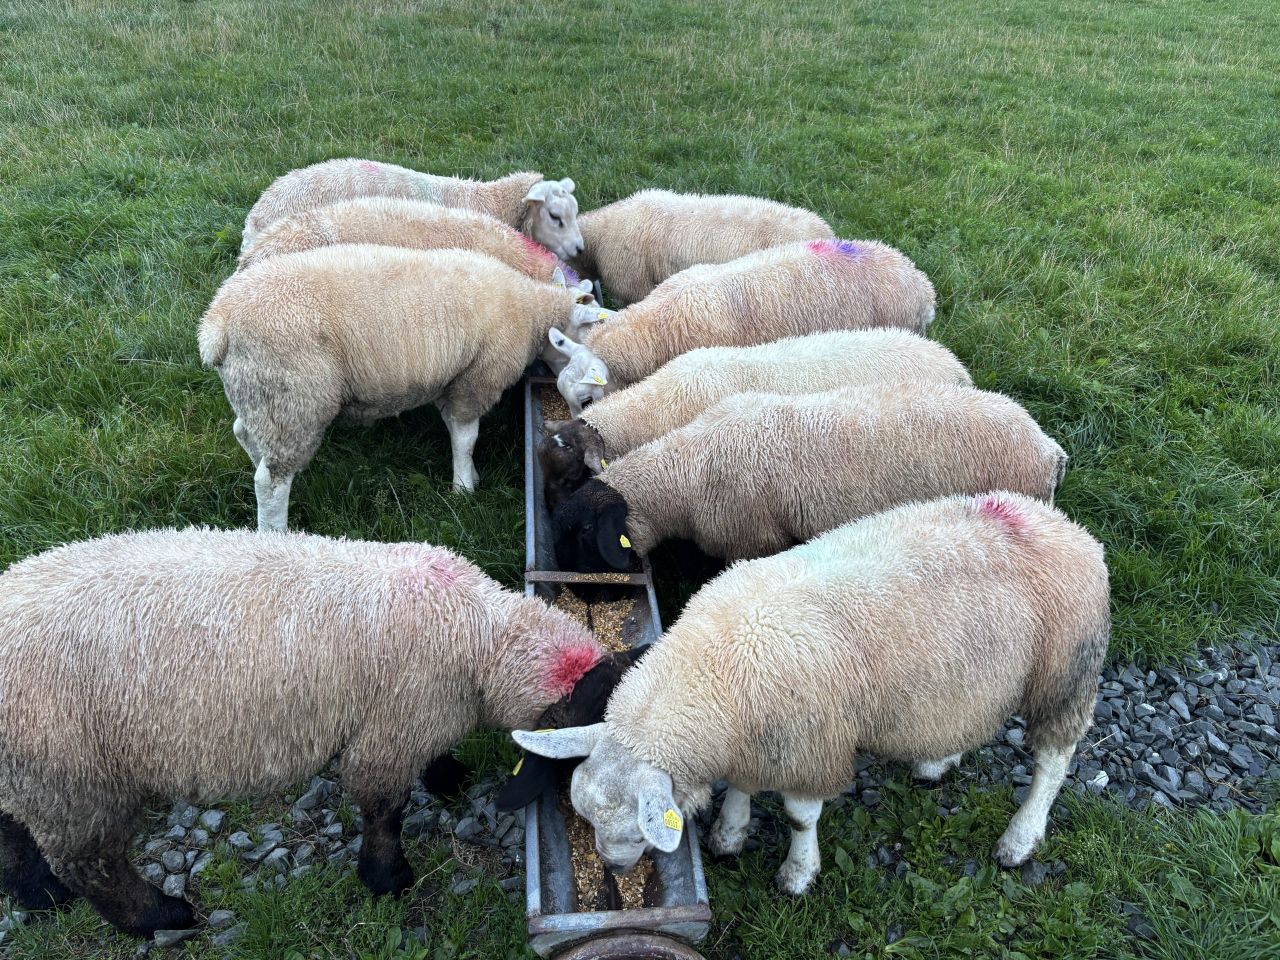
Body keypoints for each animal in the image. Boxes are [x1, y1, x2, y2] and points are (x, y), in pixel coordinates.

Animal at [0, 527, 633, 937]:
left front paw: (448, 775)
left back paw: (38, 894)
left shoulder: (417, 716)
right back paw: (157, 917)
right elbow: (384, 808)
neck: (478, 633)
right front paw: (387, 878)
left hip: (31, 778)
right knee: (93, 866)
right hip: (73, 779)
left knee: (16, 832)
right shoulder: (391, 729)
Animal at [197, 245, 605, 531]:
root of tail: (216, 326)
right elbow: (466, 437)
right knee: (271, 481)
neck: (530, 309)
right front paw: (464, 489)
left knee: (246, 436)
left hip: (260, 393)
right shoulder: (477, 378)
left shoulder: (451, 379)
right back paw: (275, 532)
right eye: (588, 330)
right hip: (294, 397)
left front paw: (468, 475)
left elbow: (454, 430)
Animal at [515, 492, 1110, 895]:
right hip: (976, 671)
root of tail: (1066, 526)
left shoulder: (809, 743)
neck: (714, 672)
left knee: (1054, 761)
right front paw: (729, 834)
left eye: (632, 827)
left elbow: (801, 817)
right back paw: (938, 762)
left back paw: (1020, 838)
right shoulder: (758, 739)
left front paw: (798, 873)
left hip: (1065, 674)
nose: (614, 869)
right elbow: (742, 785)